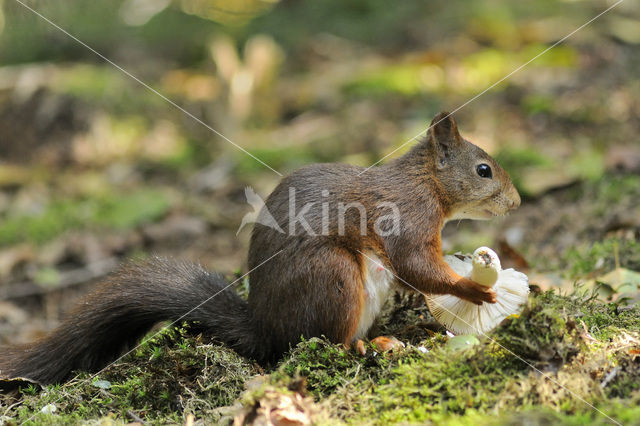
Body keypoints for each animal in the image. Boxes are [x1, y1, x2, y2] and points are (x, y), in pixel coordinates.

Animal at [0, 111, 520, 384]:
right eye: (484, 170)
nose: (516, 203)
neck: (425, 182)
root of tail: (265, 328)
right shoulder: (407, 218)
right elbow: (415, 264)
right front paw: (476, 290)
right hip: (332, 275)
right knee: (322, 341)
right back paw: (369, 347)